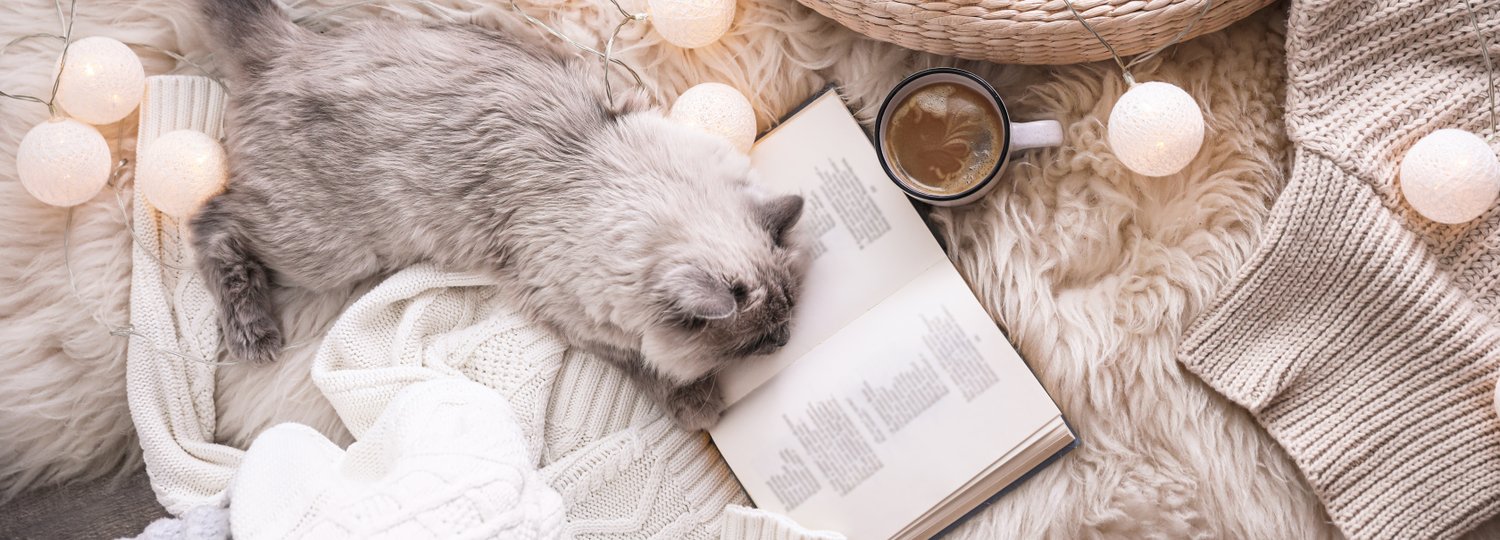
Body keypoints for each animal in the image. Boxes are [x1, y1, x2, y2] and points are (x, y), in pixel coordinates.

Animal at [196, 0, 810, 429]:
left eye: (788, 316)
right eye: (753, 343)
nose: (784, 342)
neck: (602, 178)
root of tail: (288, 45)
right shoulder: (578, 318)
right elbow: (646, 365)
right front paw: (698, 405)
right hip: (329, 253)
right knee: (212, 221)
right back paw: (253, 333)